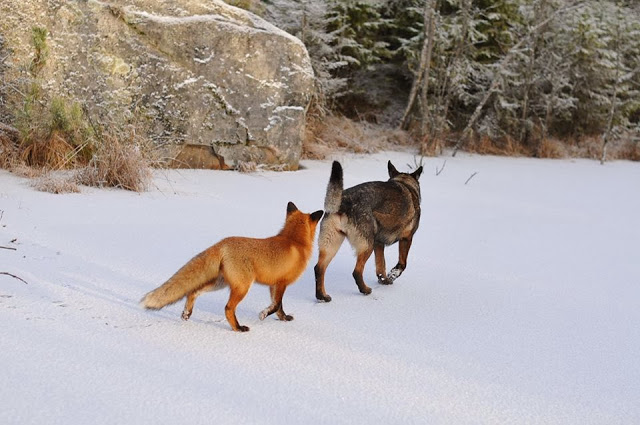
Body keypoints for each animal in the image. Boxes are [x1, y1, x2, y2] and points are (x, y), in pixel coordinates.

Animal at [314, 160, 422, 302]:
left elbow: (381, 266)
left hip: (331, 244)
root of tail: (343, 203)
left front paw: (384, 280)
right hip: (366, 246)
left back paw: (322, 296)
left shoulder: (379, 244)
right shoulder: (406, 238)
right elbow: (402, 264)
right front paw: (392, 275)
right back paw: (365, 290)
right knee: (356, 271)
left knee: (319, 268)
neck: (405, 183)